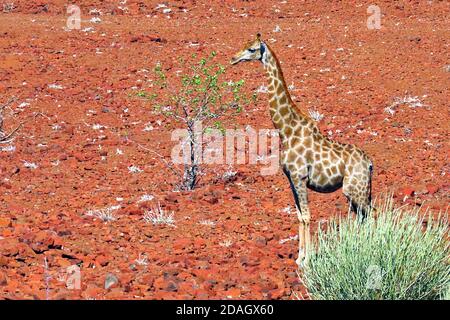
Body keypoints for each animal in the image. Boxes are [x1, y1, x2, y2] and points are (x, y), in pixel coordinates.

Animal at [230, 33, 374, 268]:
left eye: (252, 49)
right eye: (243, 45)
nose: (233, 58)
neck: (286, 129)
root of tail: (370, 164)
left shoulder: (300, 177)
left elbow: (306, 216)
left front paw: (306, 260)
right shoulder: (291, 179)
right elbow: (299, 216)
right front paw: (299, 257)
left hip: (355, 189)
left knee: (370, 213)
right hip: (357, 191)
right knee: (362, 216)